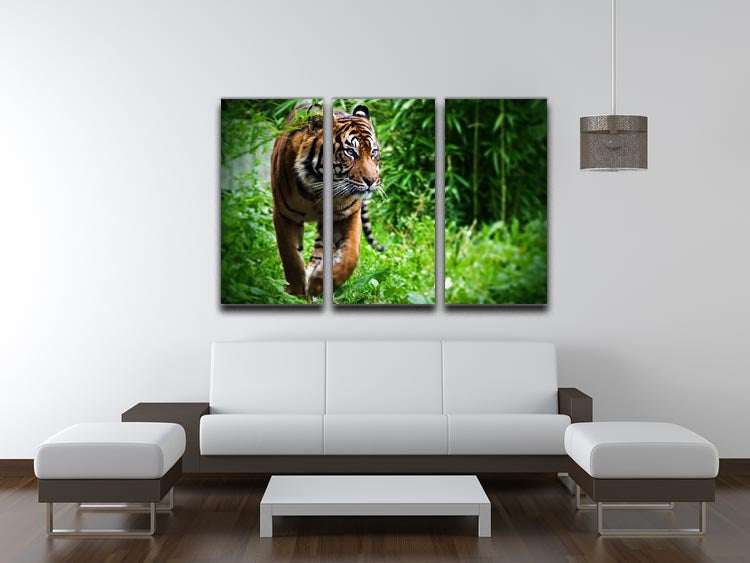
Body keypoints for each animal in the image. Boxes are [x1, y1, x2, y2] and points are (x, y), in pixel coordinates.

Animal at [270, 103, 383, 298]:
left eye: (373, 152)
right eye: (350, 152)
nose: (372, 181)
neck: (317, 192)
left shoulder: (348, 214)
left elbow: (350, 255)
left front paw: (319, 284)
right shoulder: (284, 215)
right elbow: (290, 256)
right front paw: (296, 293)